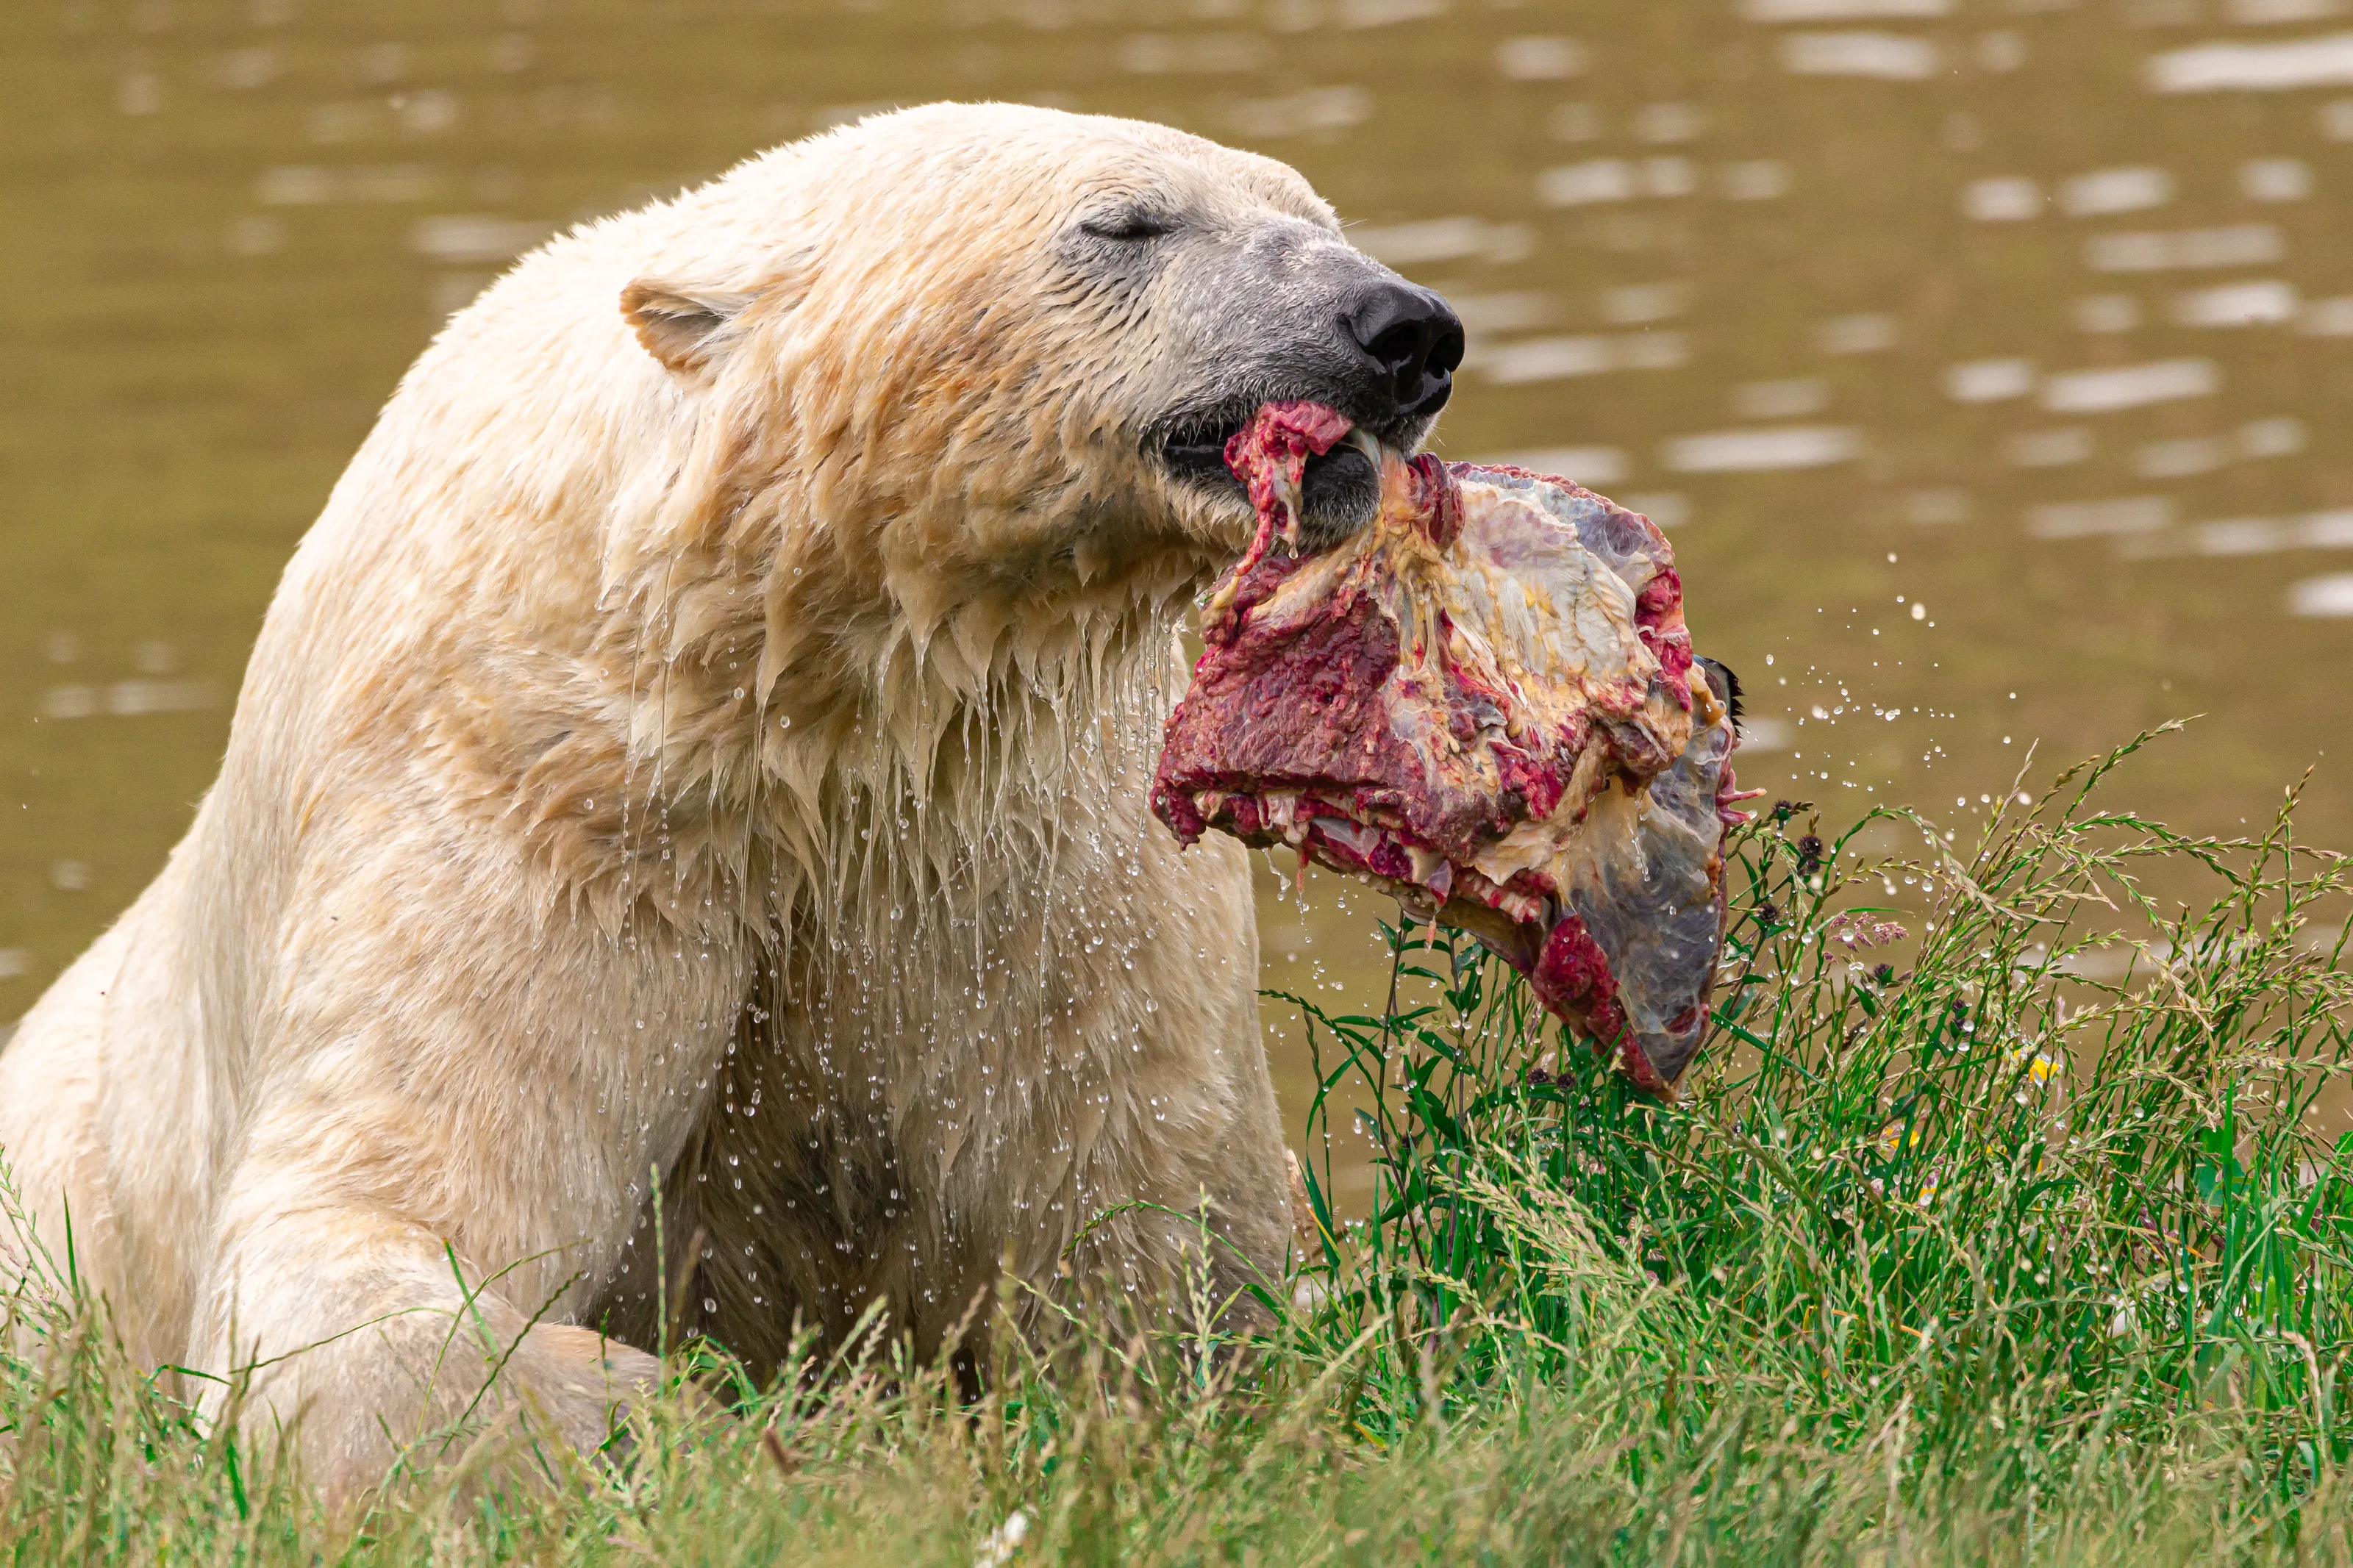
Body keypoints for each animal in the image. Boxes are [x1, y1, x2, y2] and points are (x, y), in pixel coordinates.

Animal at [0, 102, 1463, 1495]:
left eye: (1316, 209)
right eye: (1127, 221)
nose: (1402, 328)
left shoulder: (1035, 835)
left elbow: (1141, 1196)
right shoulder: (537, 788)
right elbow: (374, 1237)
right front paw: (720, 1433)